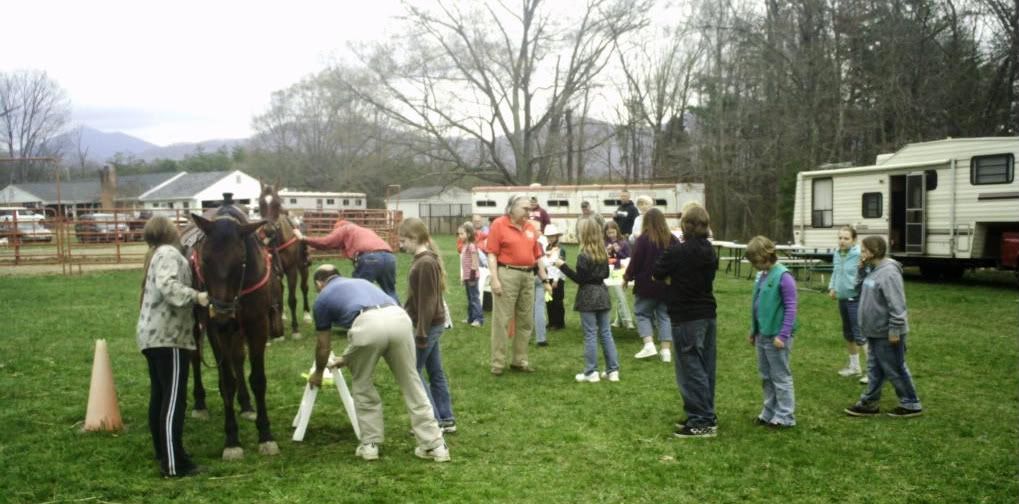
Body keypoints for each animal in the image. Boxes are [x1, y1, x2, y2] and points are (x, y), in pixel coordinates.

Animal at [188, 201, 281, 462]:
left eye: (241, 261)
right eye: (204, 259)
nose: (222, 315)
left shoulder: (257, 325)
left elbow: (257, 379)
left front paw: (265, 435)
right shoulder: (215, 330)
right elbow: (227, 382)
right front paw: (232, 440)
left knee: (238, 359)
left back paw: (247, 404)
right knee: (196, 358)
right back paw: (200, 403)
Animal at [256, 181, 307, 340]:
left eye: (277, 203)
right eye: (260, 203)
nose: (268, 230)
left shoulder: (291, 270)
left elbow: (292, 299)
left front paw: (295, 329)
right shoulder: (273, 271)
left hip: (303, 267)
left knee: (304, 287)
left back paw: (307, 314)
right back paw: (283, 315)